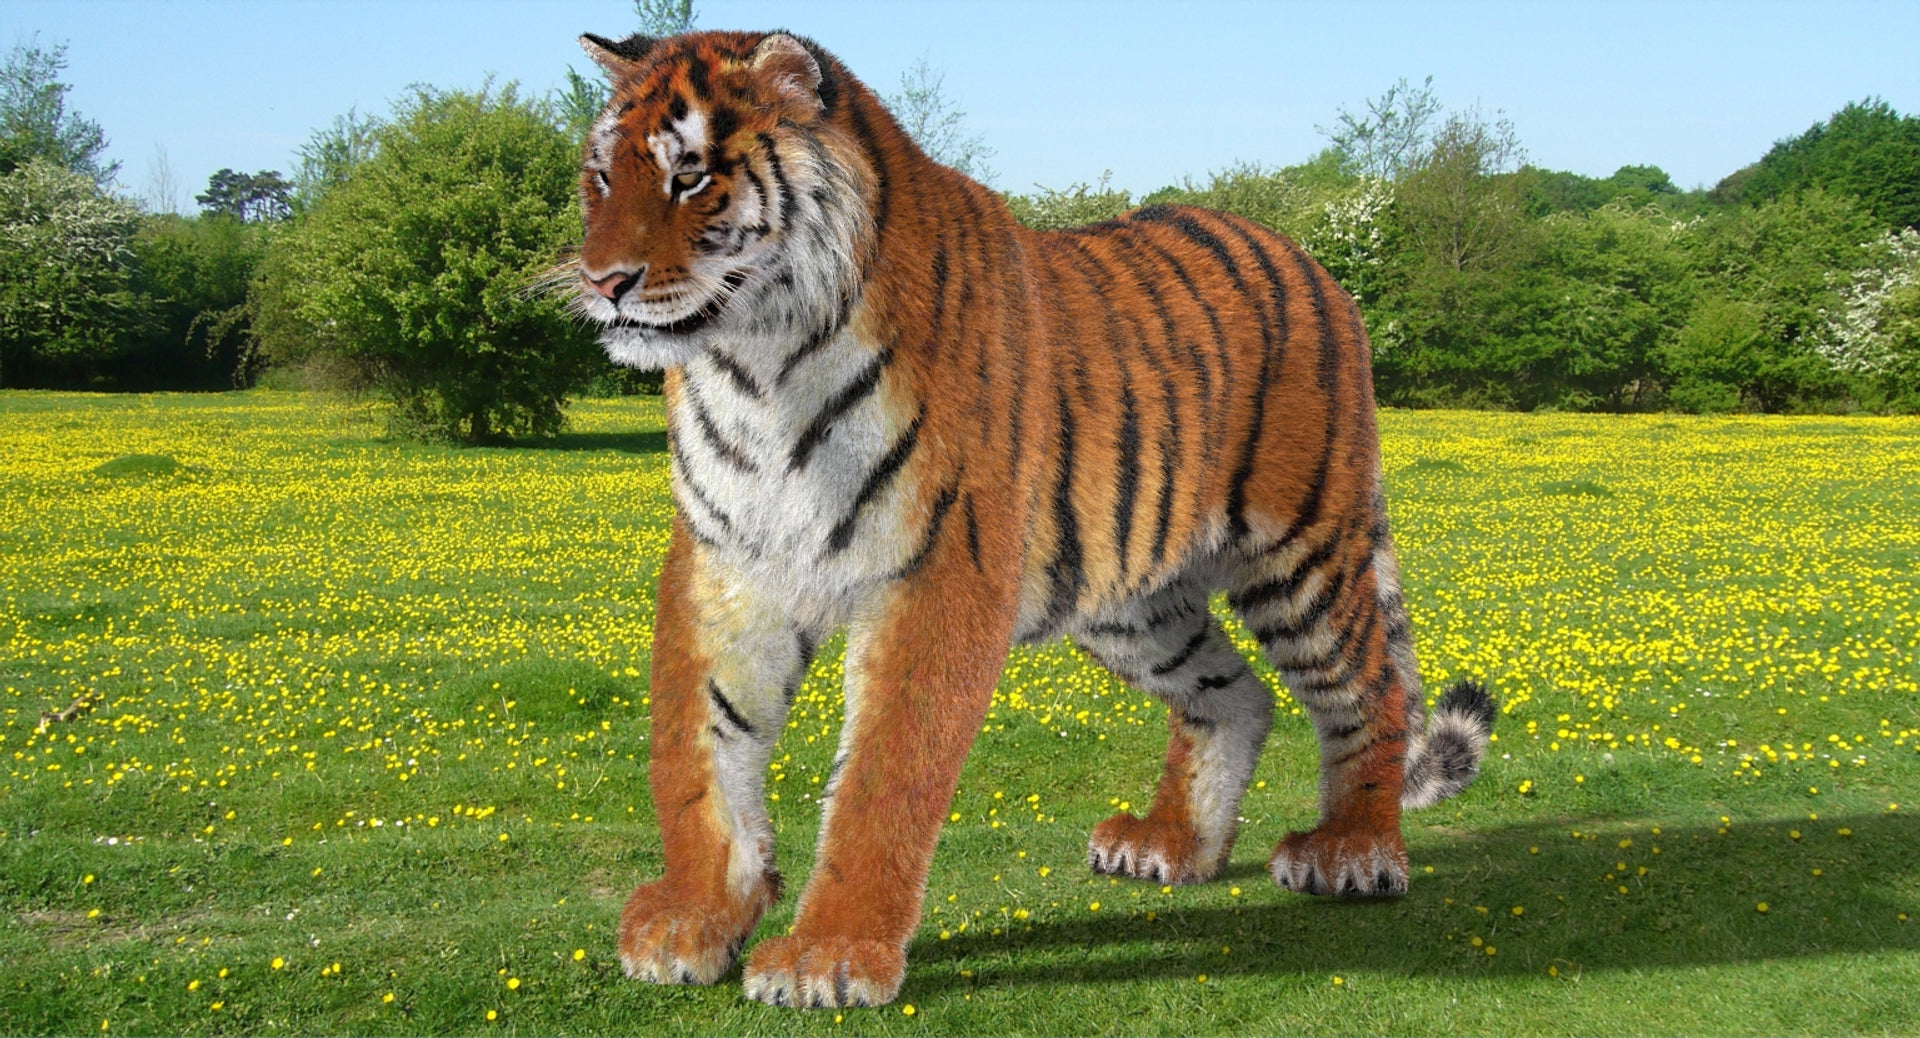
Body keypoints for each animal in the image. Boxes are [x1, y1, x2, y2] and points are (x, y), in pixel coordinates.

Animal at [566, 29, 1496, 1009]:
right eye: (602, 177)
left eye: (691, 176)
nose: (603, 281)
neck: (756, 367)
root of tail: (1310, 258)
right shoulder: (728, 564)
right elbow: (695, 752)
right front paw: (692, 920)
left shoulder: (939, 572)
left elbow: (883, 776)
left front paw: (829, 956)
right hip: (1128, 599)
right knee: (1234, 693)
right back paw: (1173, 847)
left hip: (1306, 554)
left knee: (1368, 689)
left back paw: (1352, 853)